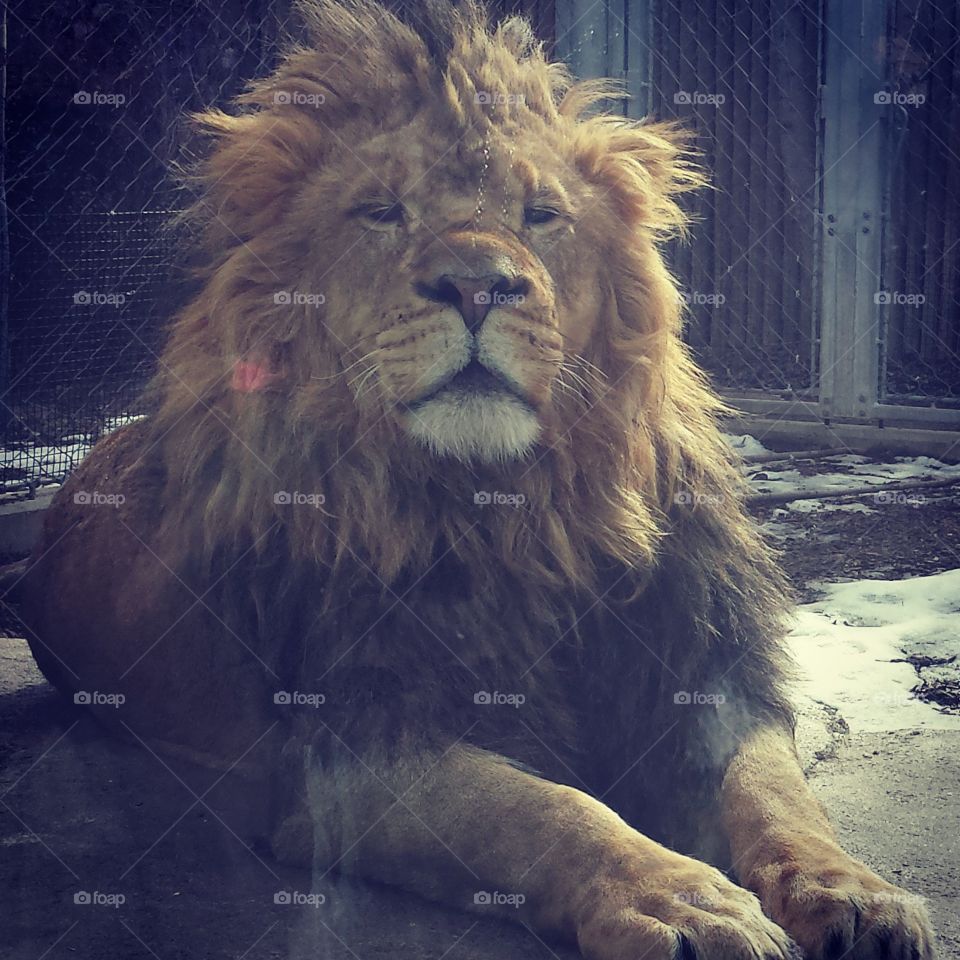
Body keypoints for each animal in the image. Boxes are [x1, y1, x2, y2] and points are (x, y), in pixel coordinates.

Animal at [18, 2, 935, 958]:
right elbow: (546, 812)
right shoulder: (350, 750)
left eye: (541, 215)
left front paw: (856, 894)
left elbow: (774, 792)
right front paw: (687, 903)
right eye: (382, 211)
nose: (476, 285)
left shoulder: (704, 677)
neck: (518, 512)